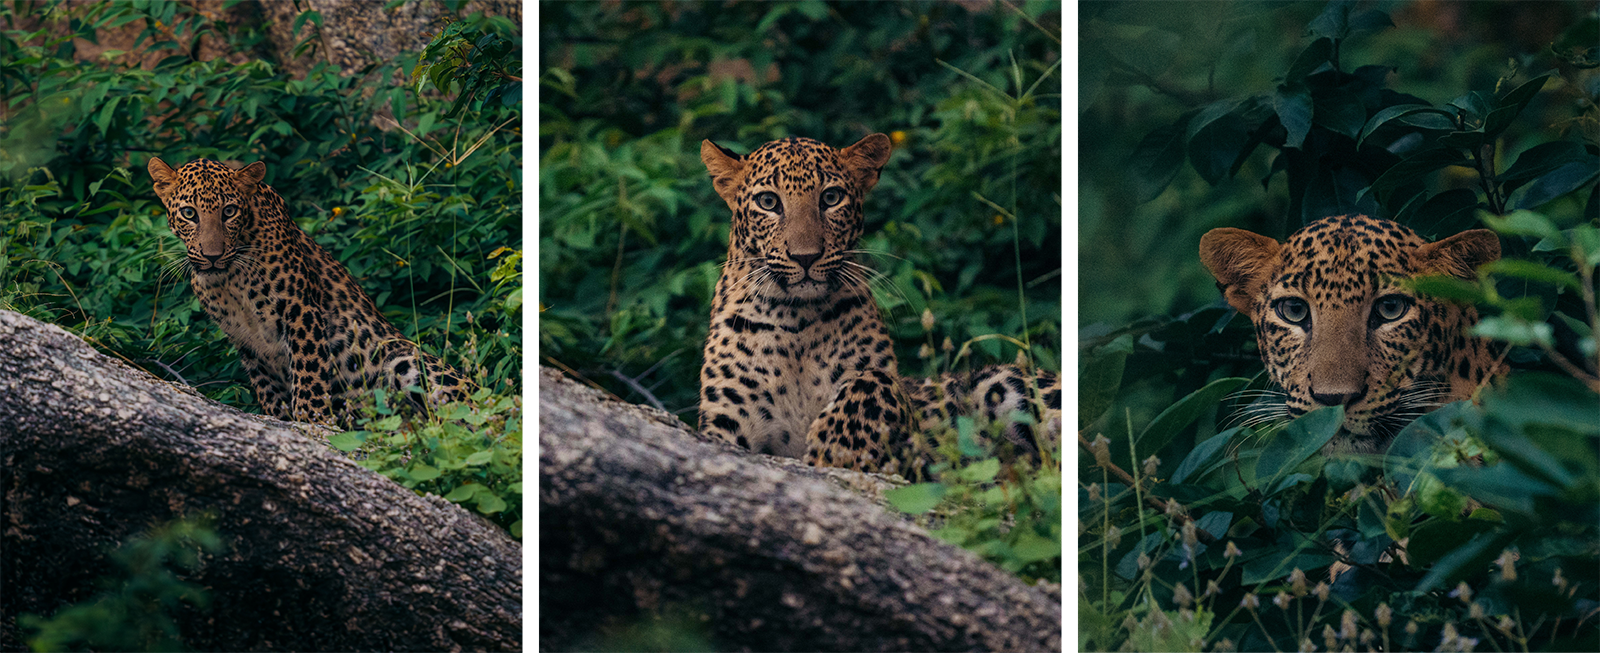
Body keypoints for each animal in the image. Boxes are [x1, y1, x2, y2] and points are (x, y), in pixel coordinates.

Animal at [148, 157, 473, 426]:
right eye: (189, 213)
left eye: (229, 211)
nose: (213, 256)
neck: (229, 279)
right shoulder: (244, 339)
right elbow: (267, 388)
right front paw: (281, 418)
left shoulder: (299, 310)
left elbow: (309, 371)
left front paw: (312, 420)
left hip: (404, 359)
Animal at [695, 134, 1075, 479]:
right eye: (768, 201)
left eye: (831, 198)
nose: (805, 257)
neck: (795, 321)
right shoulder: (725, 424)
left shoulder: (912, 438)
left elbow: (875, 380)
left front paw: (836, 450)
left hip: (1003, 383)